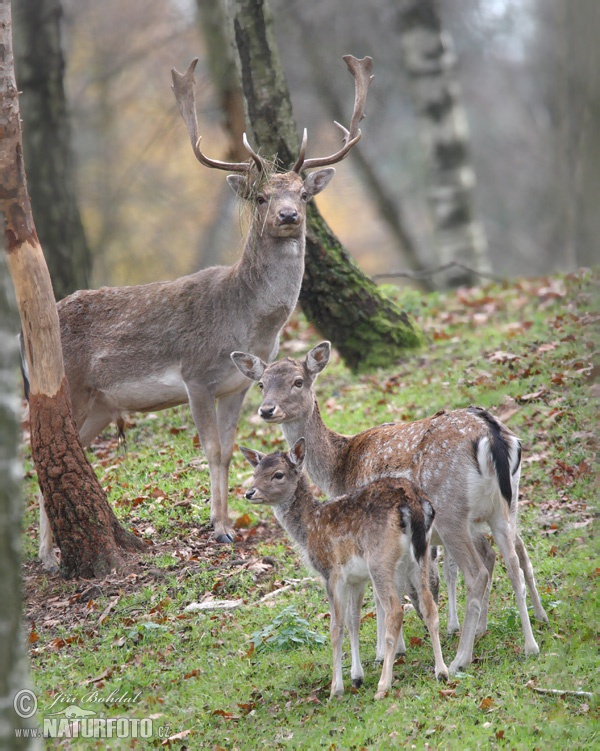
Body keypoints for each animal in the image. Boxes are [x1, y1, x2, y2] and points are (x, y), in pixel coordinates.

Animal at [30, 55, 372, 568]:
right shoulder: (194, 375)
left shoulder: (236, 385)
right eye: (261, 197)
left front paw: (225, 521)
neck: (248, 322)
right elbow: (209, 449)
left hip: (100, 404)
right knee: (37, 452)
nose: (289, 216)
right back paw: (48, 557)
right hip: (65, 385)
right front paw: (221, 529)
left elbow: (228, 450)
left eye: (303, 194)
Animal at [233, 344, 548, 672]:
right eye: (261, 384)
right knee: (513, 560)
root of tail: (493, 435)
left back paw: (460, 658)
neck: (338, 469)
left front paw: (387, 652)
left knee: (477, 572)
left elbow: (380, 593)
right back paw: (527, 641)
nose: (267, 410)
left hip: (452, 512)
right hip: (505, 506)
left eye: (298, 381)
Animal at [241, 438, 448, 704]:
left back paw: (383, 686)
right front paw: (356, 677)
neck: (310, 527)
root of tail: (412, 502)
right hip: (419, 556)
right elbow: (353, 621)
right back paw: (442, 671)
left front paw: (335, 688)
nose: (250, 492)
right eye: (255, 472)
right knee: (429, 603)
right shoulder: (356, 579)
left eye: (278, 474)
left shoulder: (331, 573)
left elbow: (335, 627)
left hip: (380, 559)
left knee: (395, 611)